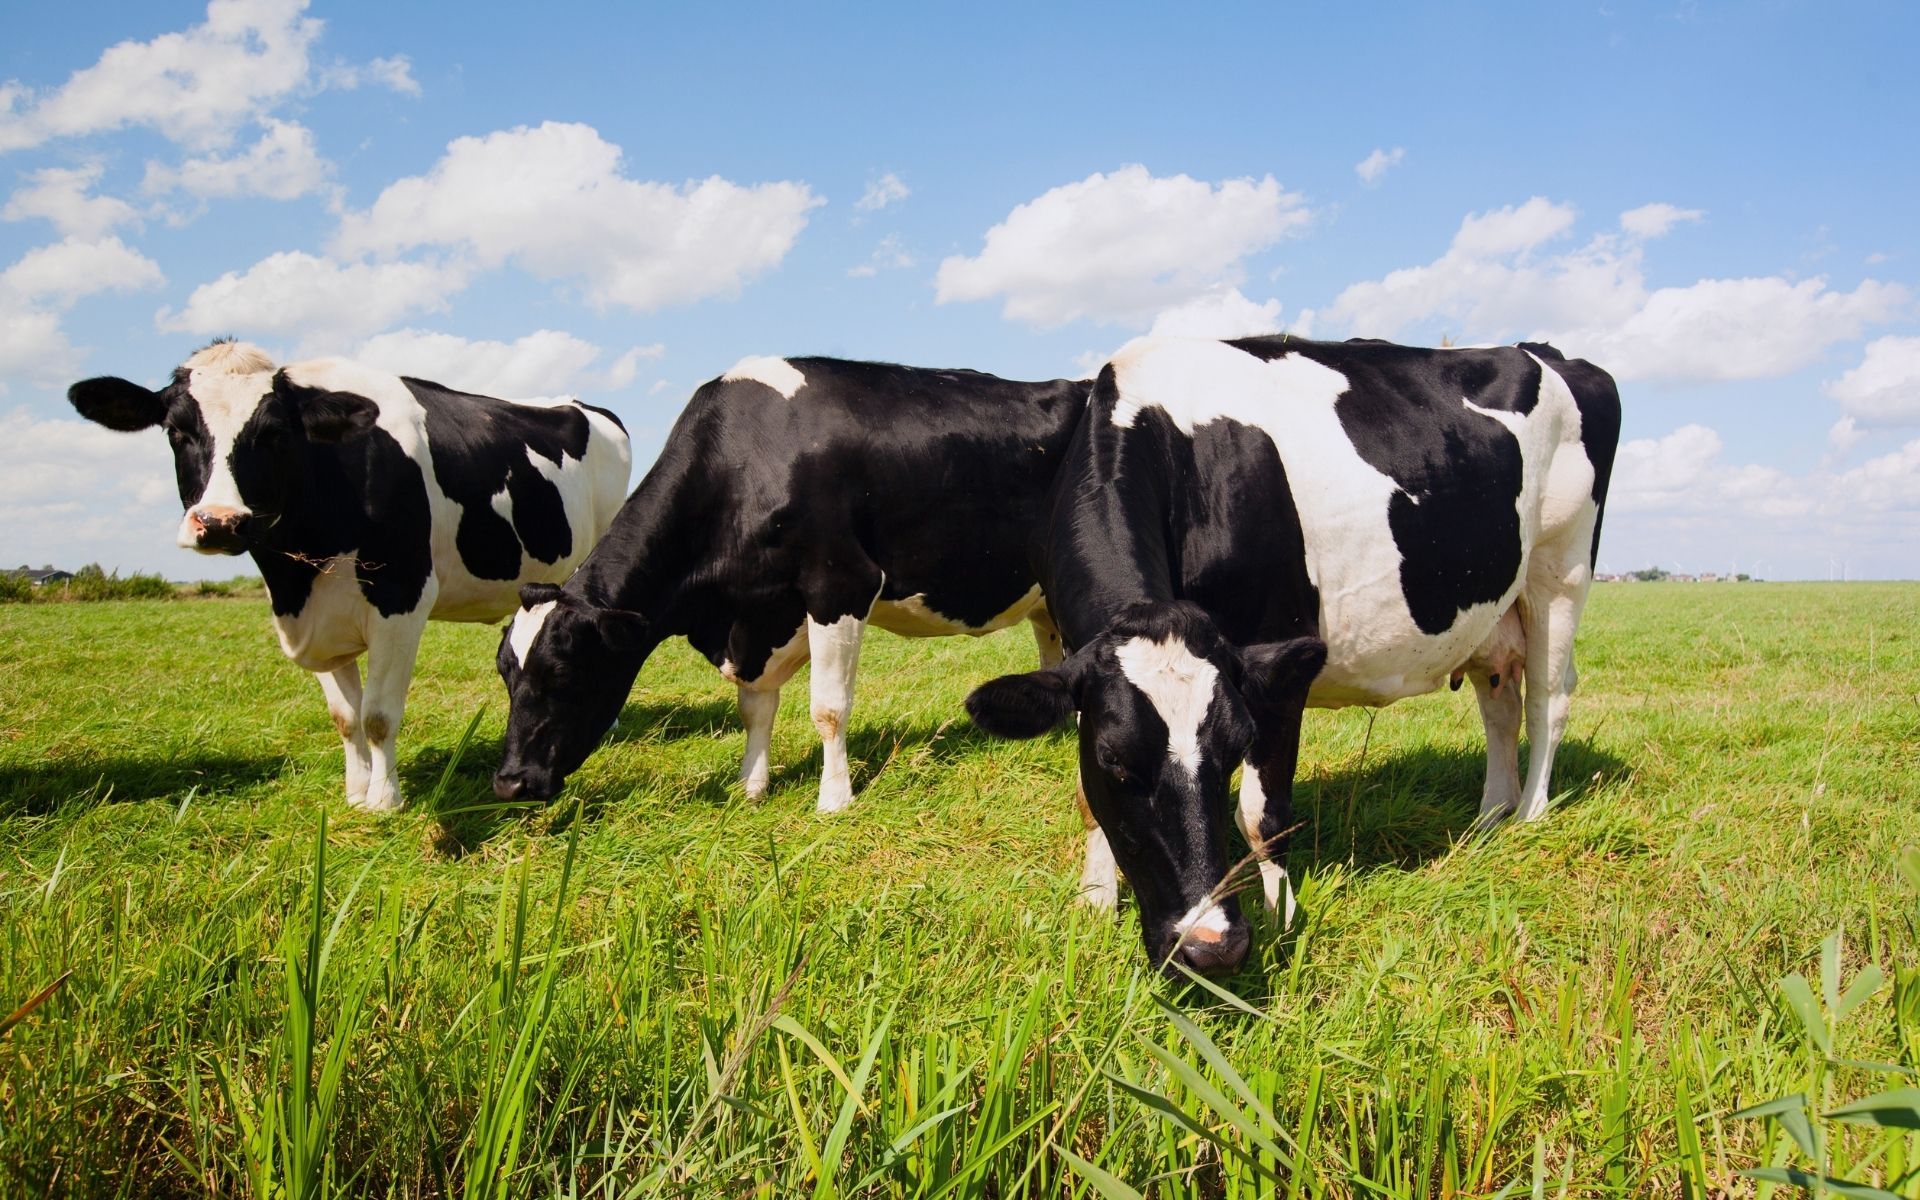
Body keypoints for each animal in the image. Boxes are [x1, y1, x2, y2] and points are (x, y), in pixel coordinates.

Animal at [67, 339, 632, 812]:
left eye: (274, 434)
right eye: (176, 431)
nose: (221, 521)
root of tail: (582, 405)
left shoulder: (402, 598)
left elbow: (378, 714)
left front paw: (384, 800)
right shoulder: (315, 615)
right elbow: (345, 717)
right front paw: (356, 790)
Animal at [491, 356, 1088, 813]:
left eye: (564, 672)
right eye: (505, 675)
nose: (509, 782)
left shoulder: (840, 584)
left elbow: (828, 707)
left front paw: (835, 799)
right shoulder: (759, 616)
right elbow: (754, 708)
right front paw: (751, 786)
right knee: (1053, 648)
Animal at [965, 335, 1620, 975]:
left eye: (1233, 751)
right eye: (1117, 763)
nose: (1210, 946)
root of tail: (1547, 351)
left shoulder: (1276, 656)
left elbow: (1262, 813)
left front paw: (1280, 918)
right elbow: (1086, 794)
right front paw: (1096, 900)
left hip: (1561, 569)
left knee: (1548, 701)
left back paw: (1529, 816)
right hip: (1493, 611)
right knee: (1500, 704)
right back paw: (1488, 818)